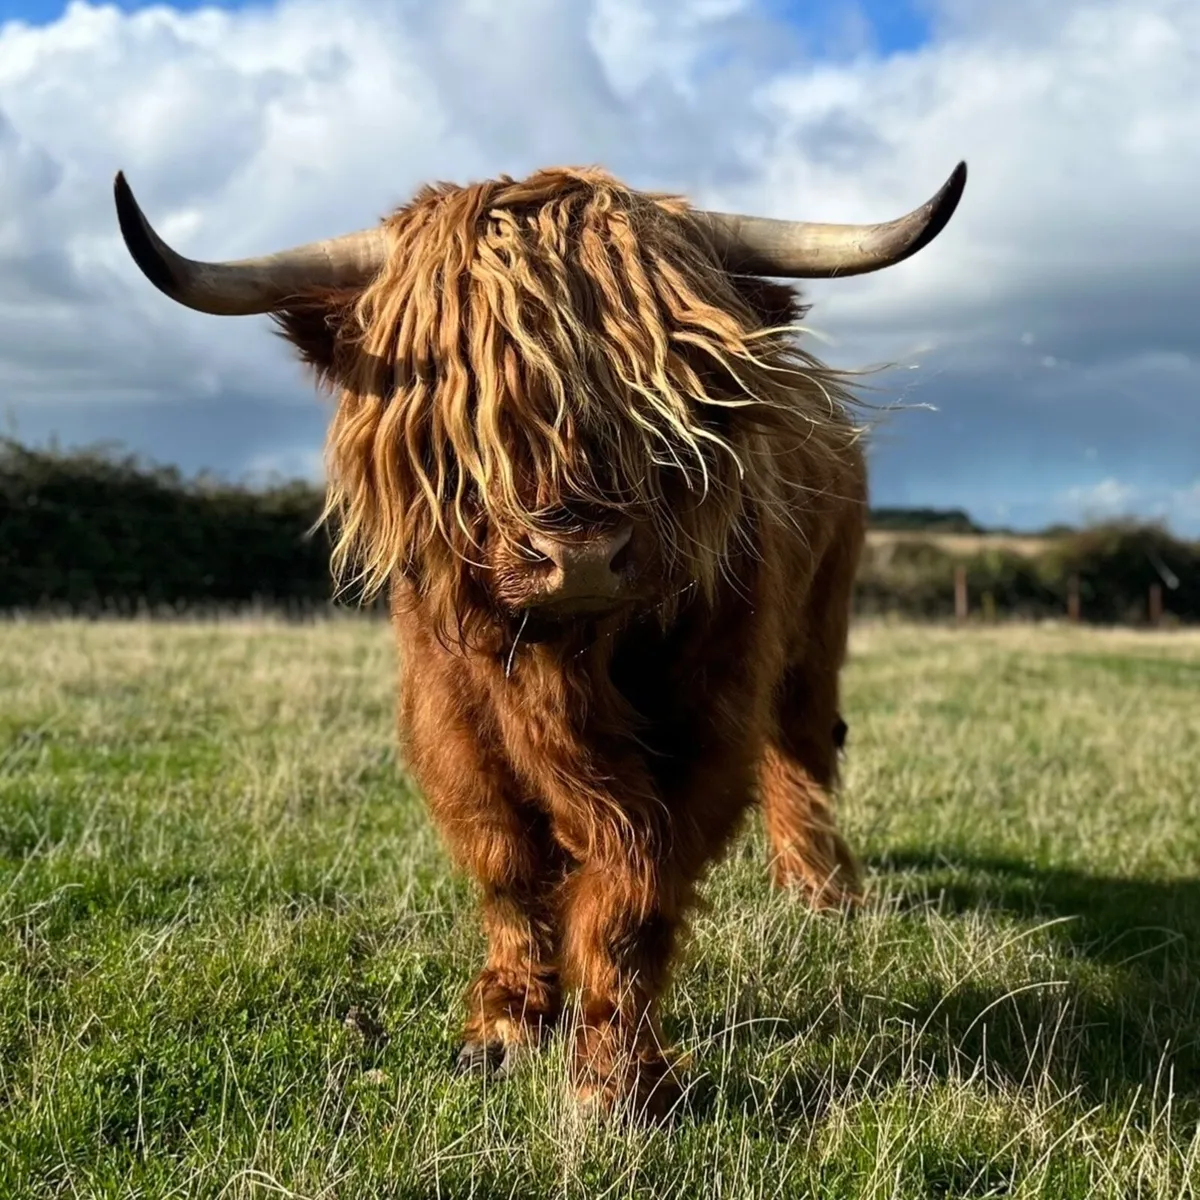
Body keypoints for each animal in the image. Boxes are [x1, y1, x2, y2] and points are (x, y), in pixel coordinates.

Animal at [113, 159, 967, 1119]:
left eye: (666, 392)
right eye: (462, 401)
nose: (582, 554)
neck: (564, 668)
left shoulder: (705, 726)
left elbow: (637, 894)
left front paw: (615, 1079)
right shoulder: (451, 720)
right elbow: (505, 862)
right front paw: (507, 1022)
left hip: (818, 628)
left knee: (805, 751)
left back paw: (820, 892)